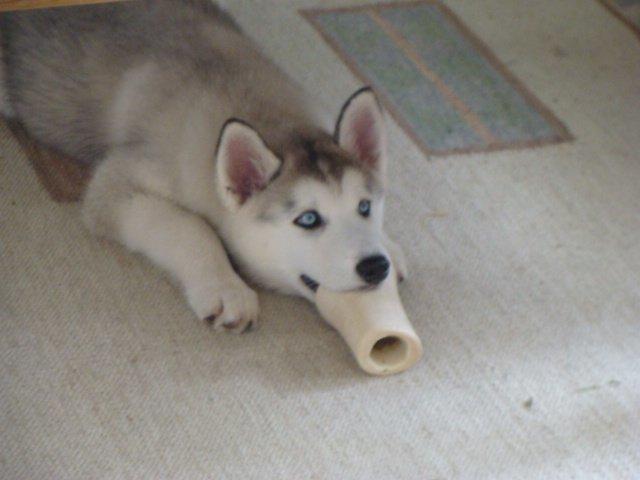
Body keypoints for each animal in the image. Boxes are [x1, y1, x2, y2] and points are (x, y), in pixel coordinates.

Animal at [1, 0, 404, 330]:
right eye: (308, 219)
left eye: (365, 206)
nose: (375, 266)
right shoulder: (116, 182)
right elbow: (191, 227)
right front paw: (226, 288)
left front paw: (390, 245)